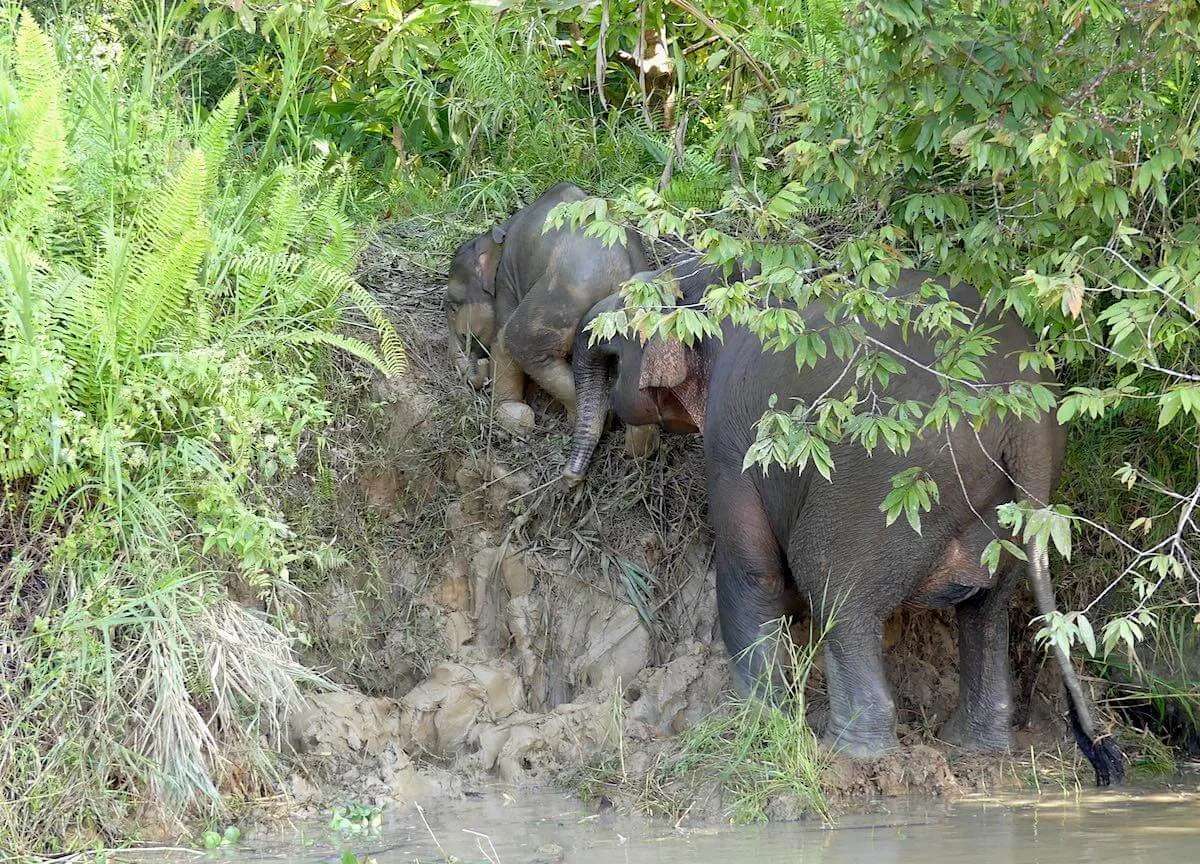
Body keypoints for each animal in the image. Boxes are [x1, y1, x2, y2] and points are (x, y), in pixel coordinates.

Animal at [445, 182, 657, 443]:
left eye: (453, 305)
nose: (480, 374)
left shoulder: (507, 281)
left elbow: (500, 338)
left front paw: (510, 414)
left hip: (562, 297)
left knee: (519, 341)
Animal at [565, 266, 1124, 784]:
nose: (570, 480)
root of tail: (1024, 418)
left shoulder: (733, 442)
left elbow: (753, 570)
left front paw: (756, 721)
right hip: (1014, 506)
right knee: (986, 609)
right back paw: (973, 747)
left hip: (881, 487)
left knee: (835, 588)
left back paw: (852, 753)